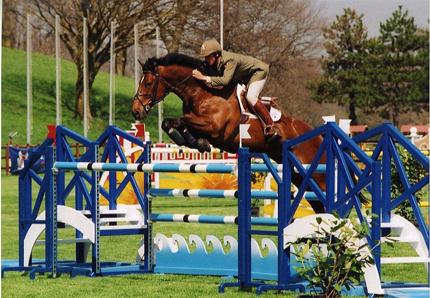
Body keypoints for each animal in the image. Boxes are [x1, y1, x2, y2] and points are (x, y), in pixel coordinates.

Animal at [132, 53, 326, 212]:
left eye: (148, 83)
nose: (136, 111)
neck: (202, 93)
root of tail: (318, 134)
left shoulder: (213, 127)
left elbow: (181, 121)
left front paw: (195, 141)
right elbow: (171, 123)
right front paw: (196, 143)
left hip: (314, 172)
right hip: (297, 174)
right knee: (317, 203)